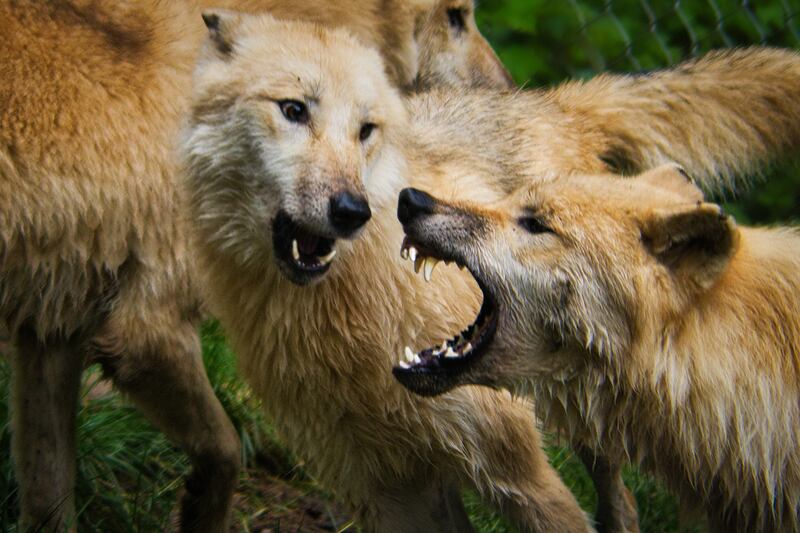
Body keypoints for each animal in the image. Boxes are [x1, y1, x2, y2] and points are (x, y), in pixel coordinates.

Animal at [0, 0, 509, 530]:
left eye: (364, 129)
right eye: (456, 16)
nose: (509, 89)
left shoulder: (52, 332)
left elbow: (50, 495)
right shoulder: (147, 332)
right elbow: (226, 451)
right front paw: (199, 513)